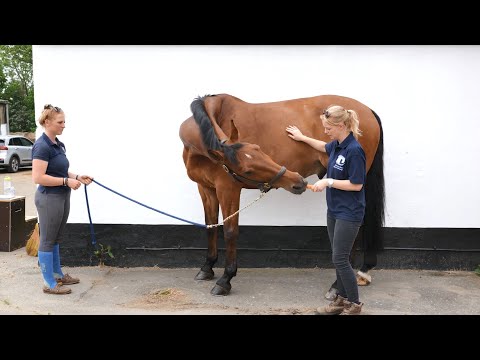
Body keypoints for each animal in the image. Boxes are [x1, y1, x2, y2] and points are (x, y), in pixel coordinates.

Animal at [178, 94, 384, 296]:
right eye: (248, 169)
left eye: (259, 149)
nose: (298, 180)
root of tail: (367, 111)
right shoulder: (206, 188)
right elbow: (211, 226)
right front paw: (207, 268)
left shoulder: (228, 189)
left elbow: (230, 231)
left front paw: (225, 279)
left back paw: (337, 286)